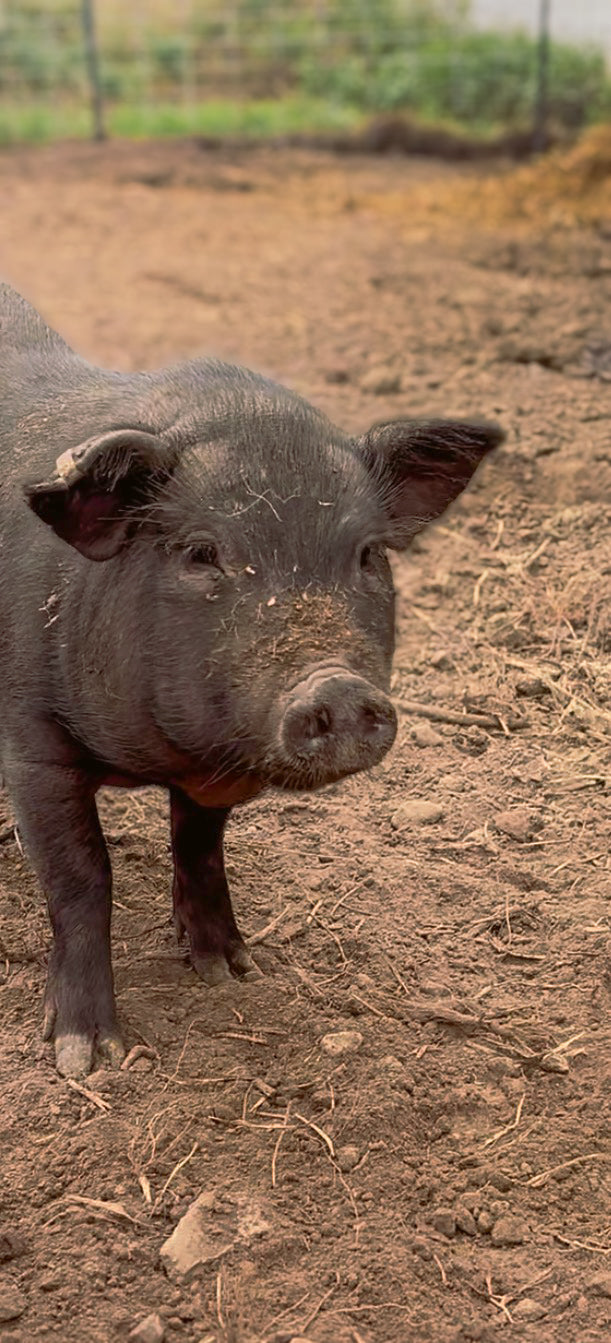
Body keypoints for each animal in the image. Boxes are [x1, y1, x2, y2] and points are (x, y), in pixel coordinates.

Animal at [0, 283, 502, 1076]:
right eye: (202, 553)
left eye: (367, 553)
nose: (335, 687)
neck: (162, 758)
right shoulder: (34, 743)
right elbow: (82, 878)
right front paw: (86, 1056)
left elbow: (201, 847)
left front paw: (230, 971)